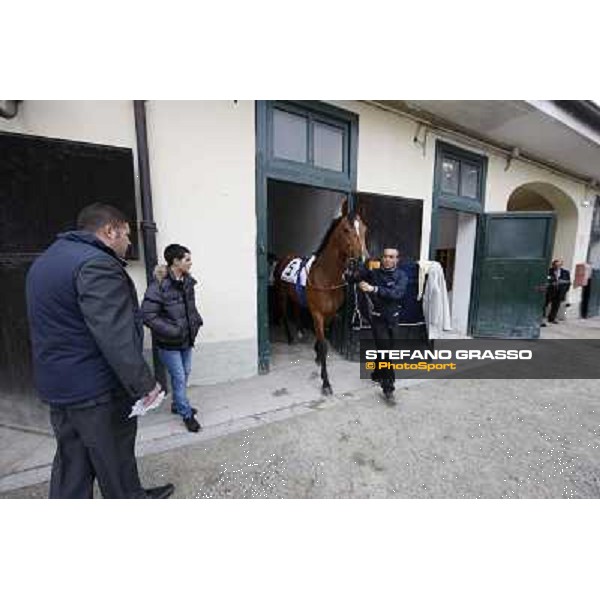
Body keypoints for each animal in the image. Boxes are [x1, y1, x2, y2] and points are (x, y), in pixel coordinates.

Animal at [274, 204, 368, 396]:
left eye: (364, 229)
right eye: (346, 229)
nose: (361, 261)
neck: (326, 276)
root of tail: (284, 258)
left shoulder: (330, 314)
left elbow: (323, 340)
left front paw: (317, 356)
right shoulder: (317, 313)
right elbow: (324, 345)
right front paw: (326, 383)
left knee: (296, 310)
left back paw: (300, 331)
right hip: (282, 295)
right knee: (285, 313)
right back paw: (290, 337)